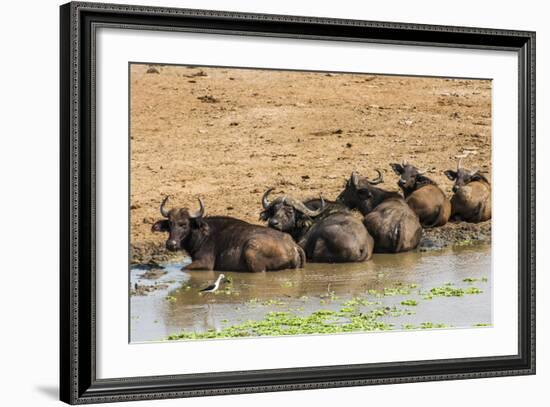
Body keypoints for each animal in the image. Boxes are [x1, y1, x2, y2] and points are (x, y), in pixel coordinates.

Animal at [151, 196, 306, 272]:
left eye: (184, 224)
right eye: (170, 223)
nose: (171, 244)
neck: (202, 234)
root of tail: (293, 245)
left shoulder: (205, 264)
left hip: (251, 251)